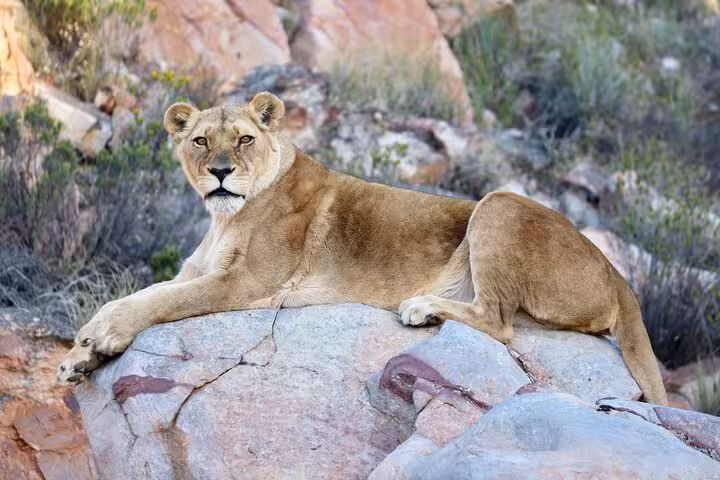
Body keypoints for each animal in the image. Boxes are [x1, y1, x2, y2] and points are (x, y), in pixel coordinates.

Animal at [57, 92, 667, 405]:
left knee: (499, 322)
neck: (225, 217)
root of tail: (619, 276)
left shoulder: (249, 283)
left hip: (499, 204)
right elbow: (147, 291)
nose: (222, 172)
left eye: (246, 139)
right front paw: (78, 357)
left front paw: (101, 336)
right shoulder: (197, 270)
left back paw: (421, 307)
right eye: (201, 140)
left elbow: (157, 301)